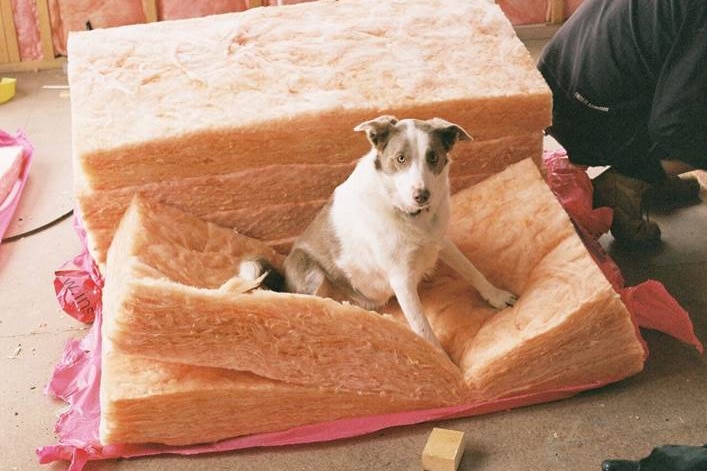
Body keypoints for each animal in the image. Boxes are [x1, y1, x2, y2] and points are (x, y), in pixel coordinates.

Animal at [242, 115, 516, 350]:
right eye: (401, 158)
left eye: (433, 157)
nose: (422, 195)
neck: (410, 215)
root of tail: (284, 279)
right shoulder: (401, 278)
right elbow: (422, 327)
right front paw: (443, 361)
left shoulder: (440, 240)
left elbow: (471, 270)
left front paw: (496, 296)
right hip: (310, 271)